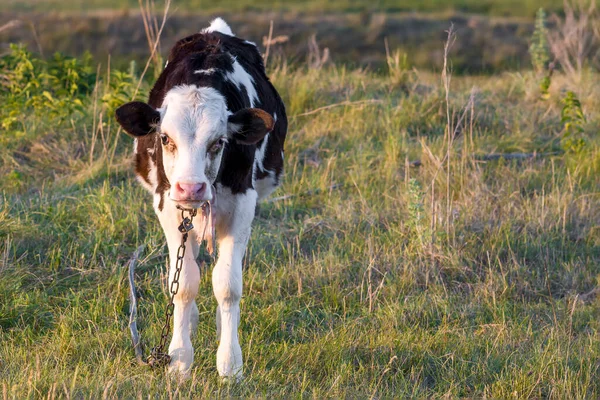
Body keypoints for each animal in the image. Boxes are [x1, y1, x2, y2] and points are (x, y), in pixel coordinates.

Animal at [116, 18, 288, 380]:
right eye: (165, 138)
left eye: (219, 141)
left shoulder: (242, 205)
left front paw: (230, 363)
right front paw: (179, 359)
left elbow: (227, 284)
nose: (190, 189)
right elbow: (182, 284)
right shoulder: (167, 206)